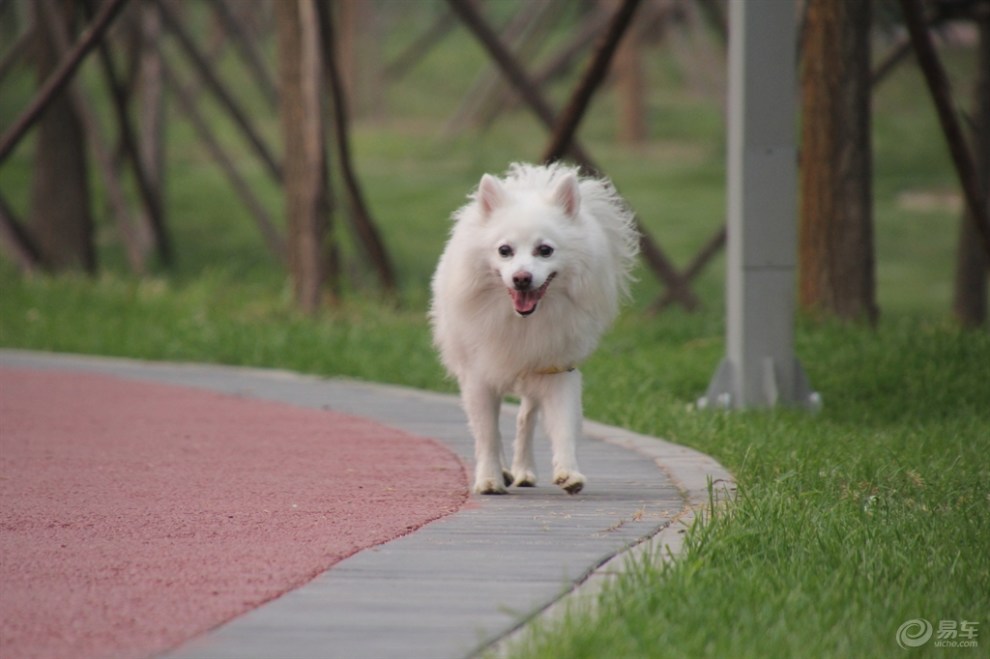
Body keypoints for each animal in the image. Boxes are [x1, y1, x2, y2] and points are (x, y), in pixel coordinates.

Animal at [430, 164, 640, 496]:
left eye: (545, 250)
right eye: (504, 250)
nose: (522, 278)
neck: (522, 321)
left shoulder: (557, 370)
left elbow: (563, 425)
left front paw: (569, 472)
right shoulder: (478, 376)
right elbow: (487, 434)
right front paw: (489, 479)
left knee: (524, 418)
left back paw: (524, 470)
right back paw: (505, 471)